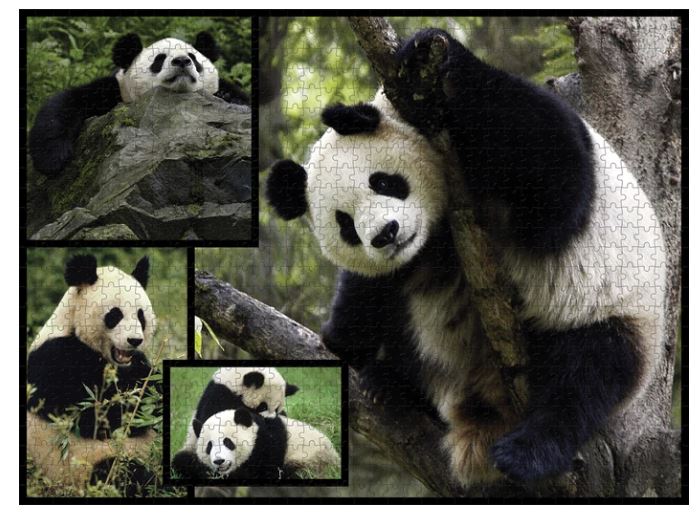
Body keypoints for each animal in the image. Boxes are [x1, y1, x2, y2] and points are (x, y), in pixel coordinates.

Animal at [27, 254, 160, 493]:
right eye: (115, 314)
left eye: (141, 315)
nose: (135, 340)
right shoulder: (54, 360)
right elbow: (95, 415)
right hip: (77, 468)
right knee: (120, 471)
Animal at [29, 31, 249, 176]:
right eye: (159, 59)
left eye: (193, 58)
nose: (181, 61)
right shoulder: (114, 92)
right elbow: (66, 104)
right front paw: (52, 159)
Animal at [266, 29, 667, 486]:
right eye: (346, 225)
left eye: (383, 182)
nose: (386, 235)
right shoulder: (415, 253)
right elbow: (371, 287)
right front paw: (342, 340)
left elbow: (554, 179)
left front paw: (429, 52)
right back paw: (393, 386)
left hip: (611, 313)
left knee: (586, 376)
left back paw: (528, 451)